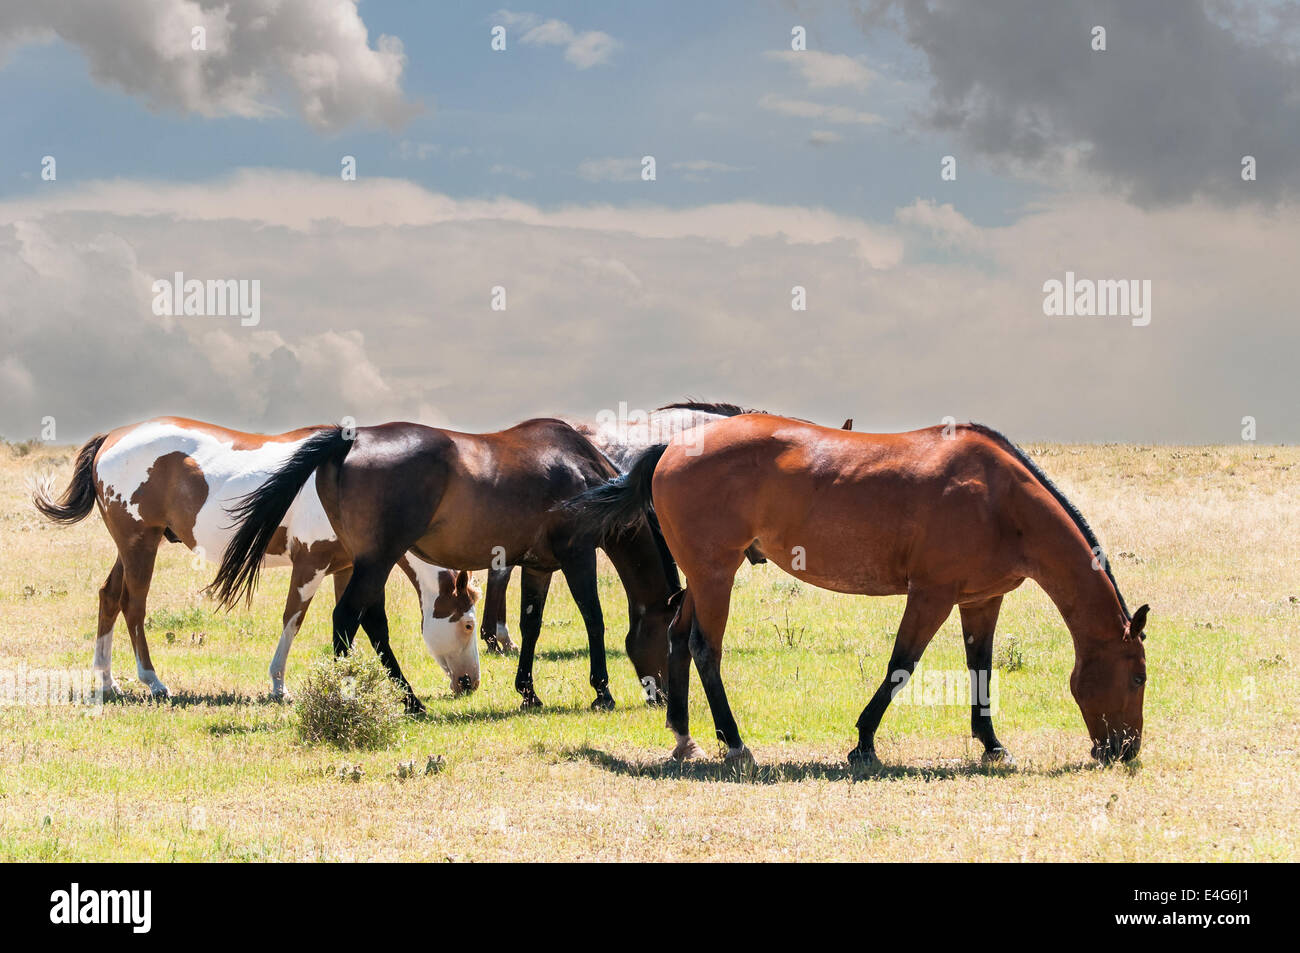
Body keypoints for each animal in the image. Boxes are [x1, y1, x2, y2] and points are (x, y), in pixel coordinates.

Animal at [33, 418, 481, 699]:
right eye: (468, 624)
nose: (470, 683)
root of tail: (113, 437)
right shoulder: (310, 564)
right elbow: (293, 620)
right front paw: (280, 685)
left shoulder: (348, 568)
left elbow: (353, 625)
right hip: (140, 546)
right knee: (134, 606)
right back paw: (153, 681)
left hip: (132, 547)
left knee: (109, 597)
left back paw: (108, 682)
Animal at [208, 418, 678, 713]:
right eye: (670, 638)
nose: (664, 696)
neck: (583, 471)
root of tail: (351, 440)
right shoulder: (578, 556)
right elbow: (593, 618)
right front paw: (603, 692)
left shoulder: (539, 567)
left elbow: (530, 626)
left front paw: (528, 692)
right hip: (376, 561)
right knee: (348, 619)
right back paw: (359, 698)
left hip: (368, 563)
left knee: (371, 623)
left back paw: (410, 700)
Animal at [569, 415, 1149, 767]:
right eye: (1139, 677)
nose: (1124, 751)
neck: (1000, 498)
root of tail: (672, 446)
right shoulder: (932, 596)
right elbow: (901, 665)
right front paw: (864, 742)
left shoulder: (980, 600)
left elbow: (979, 669)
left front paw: (991, 744)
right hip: (716, 575)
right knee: (704, 649)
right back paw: (735, 745)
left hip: (702, 576)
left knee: (676, 637)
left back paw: (684, 737)